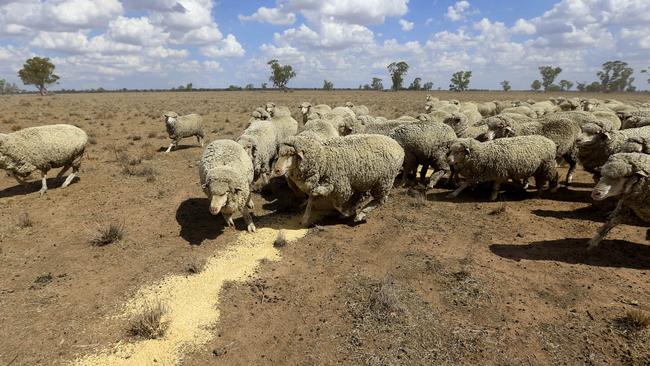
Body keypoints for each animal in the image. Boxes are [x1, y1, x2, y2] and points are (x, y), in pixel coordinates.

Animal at [270, 134, 402, 226]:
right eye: (280, 154)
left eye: (291, 154)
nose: (276, 170)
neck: (323, 160)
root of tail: (398, 146)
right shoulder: (317, 184)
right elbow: (311, 199)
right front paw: (305, 219)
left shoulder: (340, 186)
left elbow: (337, 204)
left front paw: (347, 212)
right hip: (364, 180)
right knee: (362, 194)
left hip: (384, 180)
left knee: (380, 200)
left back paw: (361, 213)